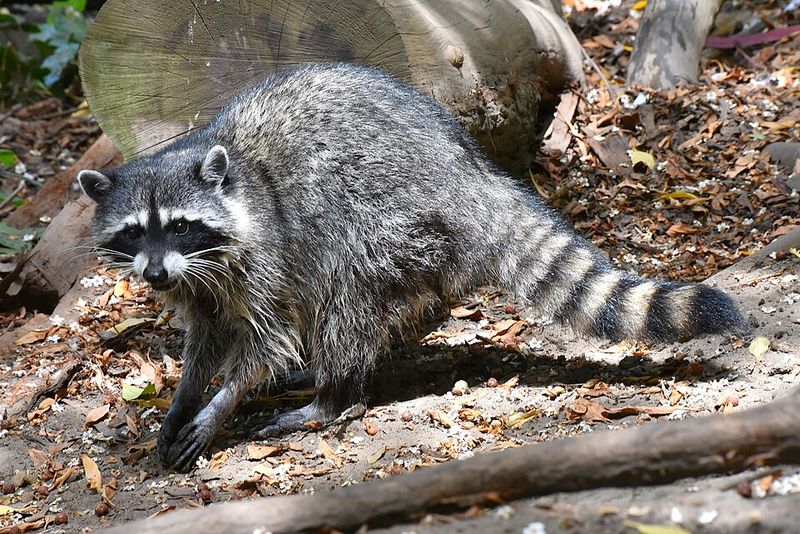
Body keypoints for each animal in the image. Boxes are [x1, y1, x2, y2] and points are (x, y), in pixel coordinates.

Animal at [78, 63, 748, 471]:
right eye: (135, 232)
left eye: (181, 225)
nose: (154, 277)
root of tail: (473, 177)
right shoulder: (198, 279)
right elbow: (207, 333)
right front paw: (186, 396)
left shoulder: (263, 250)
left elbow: (265, 339)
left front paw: (222, 400)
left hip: (391, 214)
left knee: (345, 290)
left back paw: (333, 395)